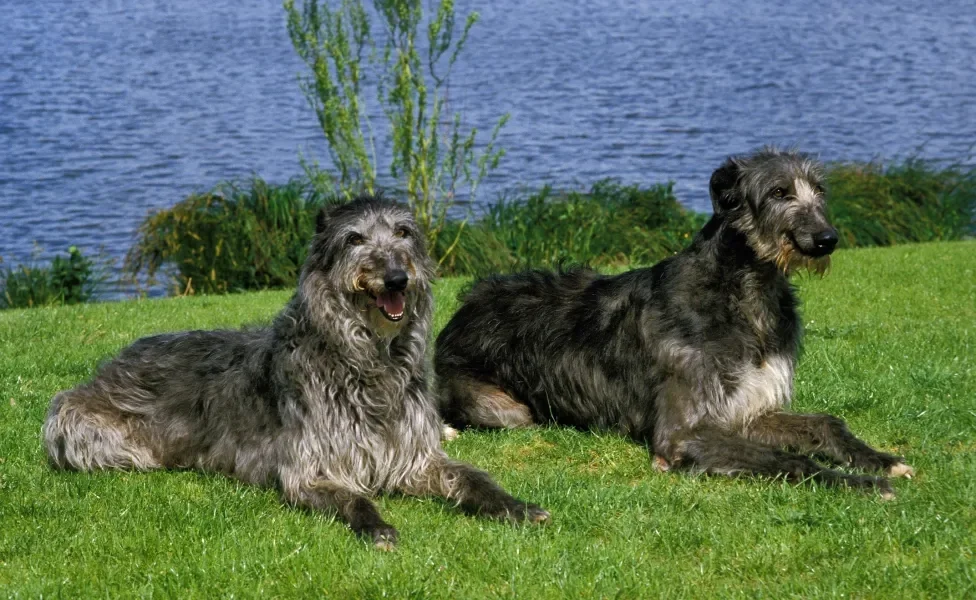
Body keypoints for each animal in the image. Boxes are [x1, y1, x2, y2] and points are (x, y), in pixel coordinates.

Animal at [43, 196, 548, 548]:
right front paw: (378, 527)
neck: (366, 360)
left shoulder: (414, 457)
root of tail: (113, 362)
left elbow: (472, 478)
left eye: (404, 232)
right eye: (354, 239)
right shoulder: (311, 468)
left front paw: (514, 506)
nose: (397, 278)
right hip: (86, 431)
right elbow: (353, 496)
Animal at [436, 148, 916, 500]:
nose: (826, 239)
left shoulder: (748, 409)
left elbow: (824, 423)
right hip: (505, 410)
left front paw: (879, 459)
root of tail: (461, 311)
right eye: (779, 192)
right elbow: (781, 459)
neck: (743, 292)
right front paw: (859, 482)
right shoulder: (683, 431)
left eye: (819, 190)